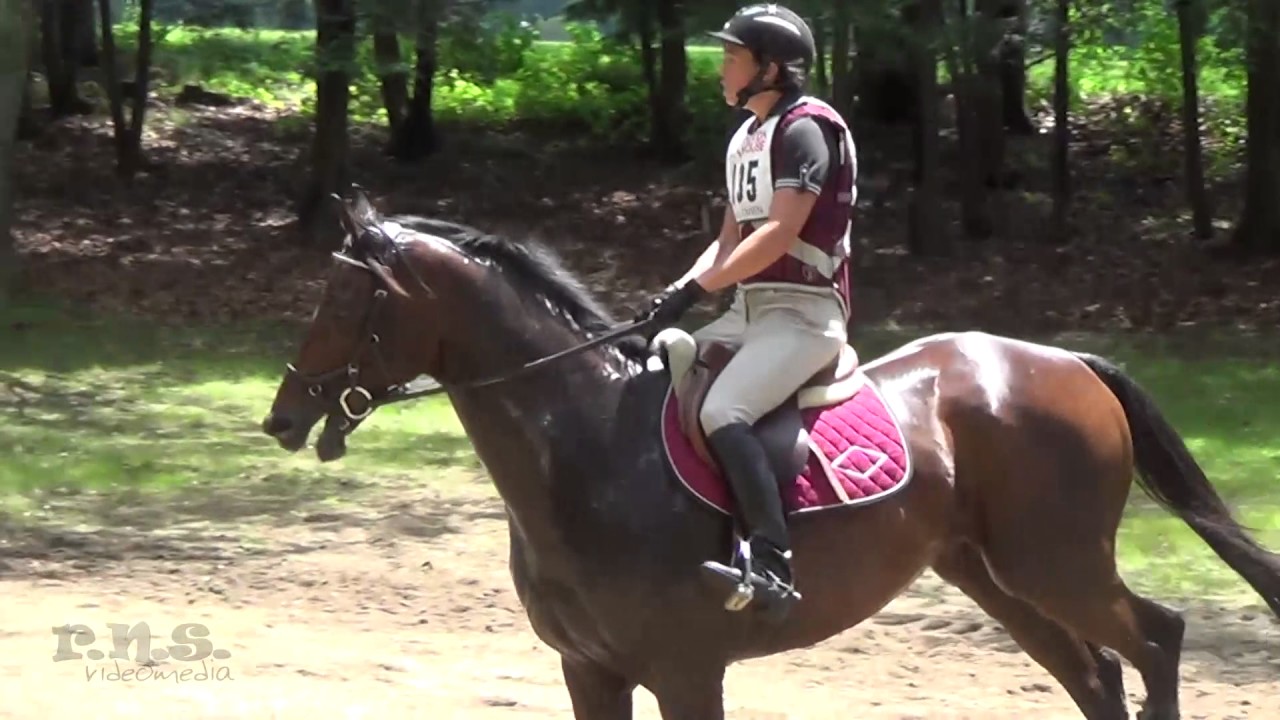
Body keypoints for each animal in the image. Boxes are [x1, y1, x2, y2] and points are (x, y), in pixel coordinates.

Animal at [261, 191, 1280, 720]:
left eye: (344, 302)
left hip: (1054, 563)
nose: (281, 416)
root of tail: (1065, 360)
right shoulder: (589, 670)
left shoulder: (684, 672)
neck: (585, 447)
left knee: (1156, 639)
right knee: (1097, 675)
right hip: (994, 576)